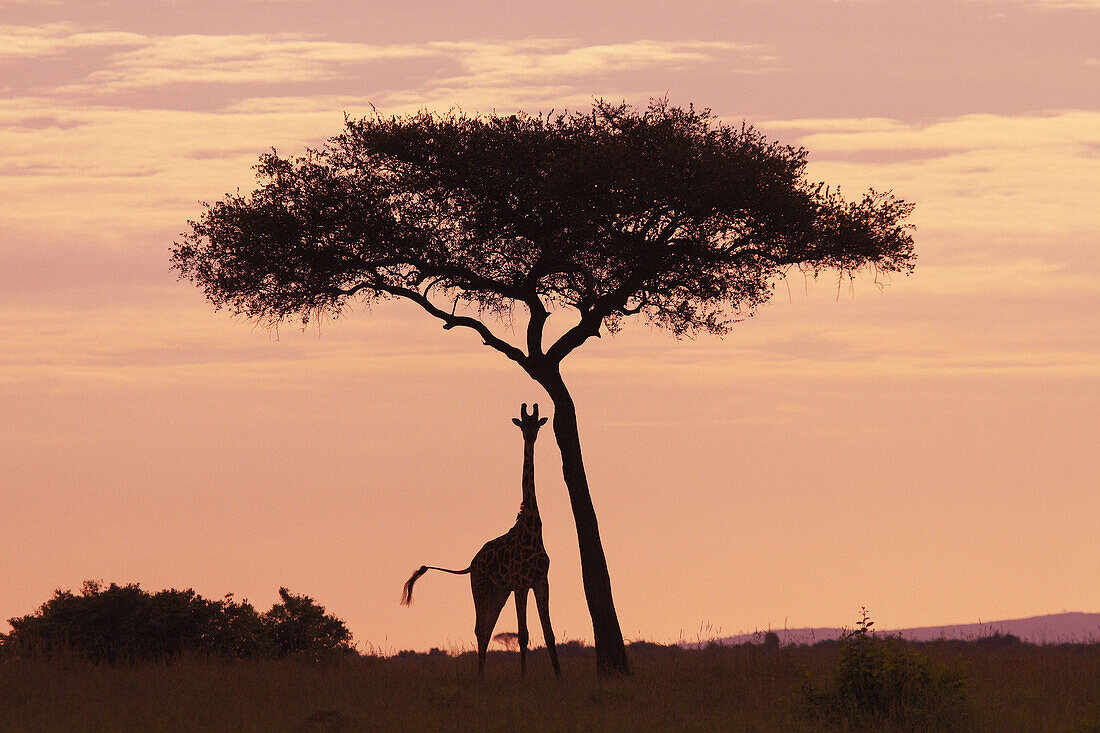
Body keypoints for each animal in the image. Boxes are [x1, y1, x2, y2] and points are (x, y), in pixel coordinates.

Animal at [400, 402, 563, 677]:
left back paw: (482, 674)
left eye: (537, 425)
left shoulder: (541, 580)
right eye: (523, 424)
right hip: (481, 586)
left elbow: (549, 634)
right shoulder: (521, 582)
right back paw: (480, 675)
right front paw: (523, 678)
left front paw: (559, 676)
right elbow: (523, 634)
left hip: (499, 591)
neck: (532, 529)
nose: (530, 436)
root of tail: (471, 563)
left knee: (487, 628)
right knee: (479, 629)